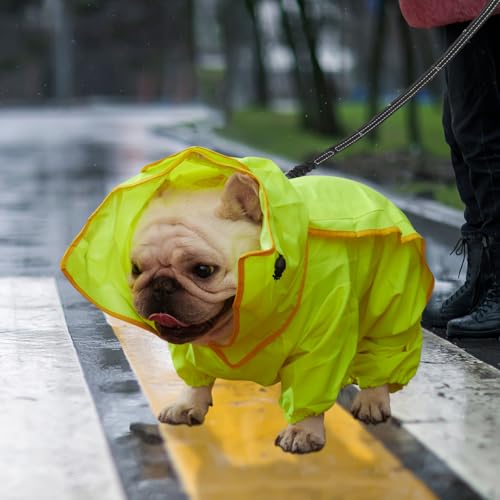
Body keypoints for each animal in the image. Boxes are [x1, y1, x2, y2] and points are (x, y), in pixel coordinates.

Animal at [127, 174, 392, 456]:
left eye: (203, 270)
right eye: (136, 268)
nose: (160, 285)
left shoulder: (321, 346)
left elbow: (311, 386)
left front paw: (303, 430)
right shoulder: (192, 348)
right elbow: (195, 378)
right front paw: (187, 404)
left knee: (382, 352)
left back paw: (373, 400)